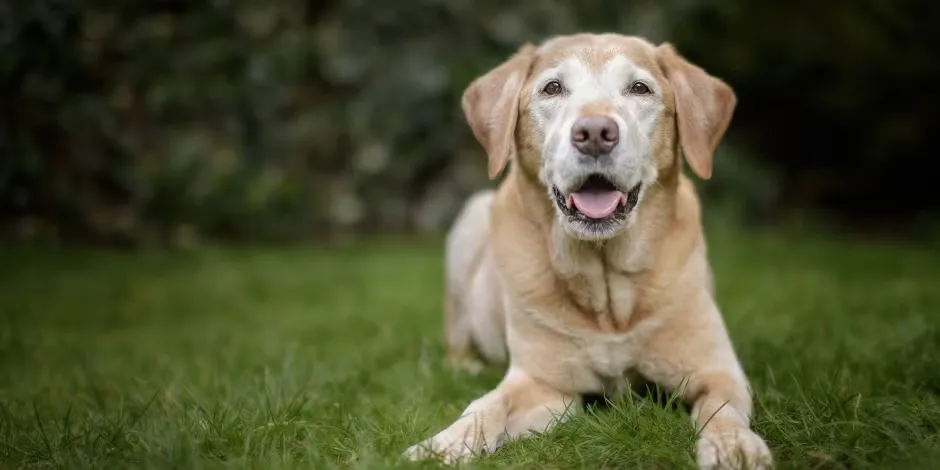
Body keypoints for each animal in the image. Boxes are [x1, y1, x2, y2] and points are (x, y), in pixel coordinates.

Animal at [402, 34, 772, 470]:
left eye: (639, 88)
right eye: (552, 88)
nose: (595, 132)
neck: (605, 282)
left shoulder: (717, 370)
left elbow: (723, 409)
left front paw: (734, 446)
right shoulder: (543, 384)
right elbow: (486, 406)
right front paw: (442, 445)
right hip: (472, 219)